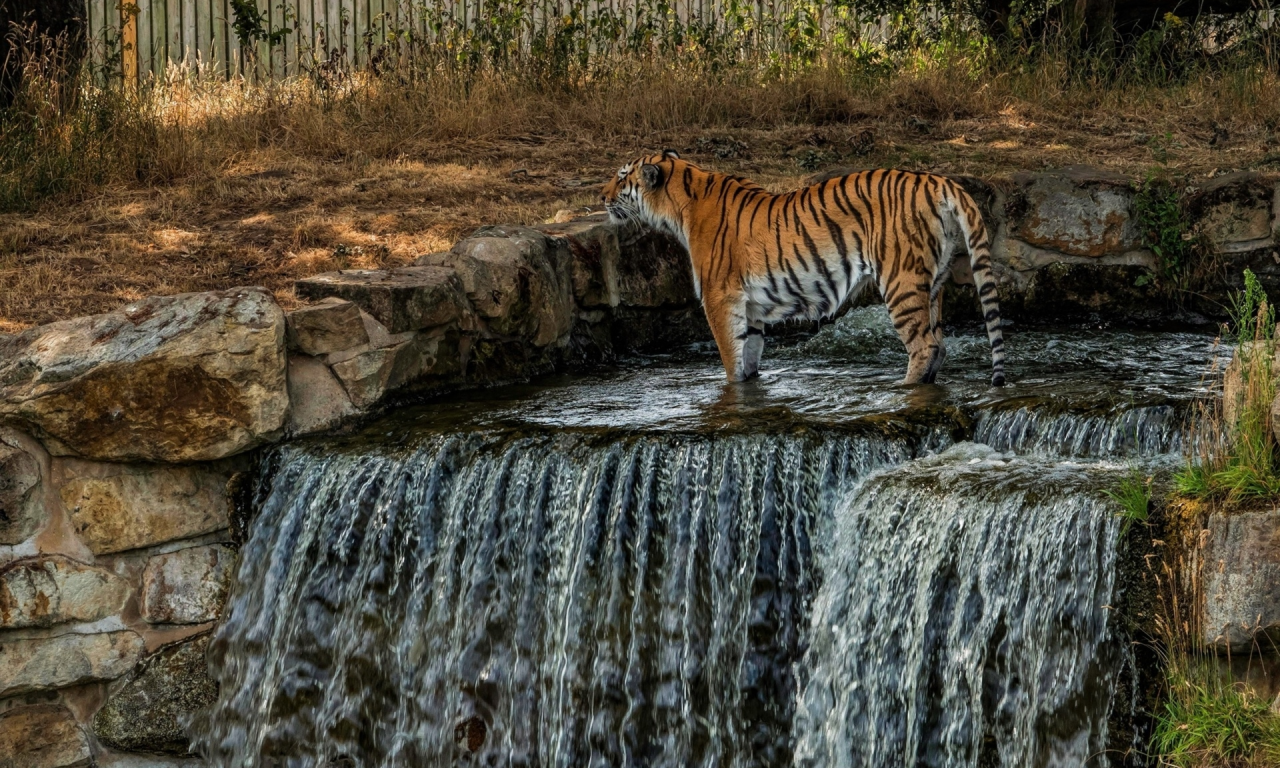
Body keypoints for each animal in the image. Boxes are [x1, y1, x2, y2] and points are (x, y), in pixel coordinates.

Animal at [604, 151, 1003, 386]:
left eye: (622, 177)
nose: (602, 196)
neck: (680, 203)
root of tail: (938, 180)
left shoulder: (719, 298)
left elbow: (731, 359)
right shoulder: (750, 308)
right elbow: (749, 355)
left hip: (901, 281)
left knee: (925, 346)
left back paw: (903, 387)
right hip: (934, 282)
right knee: (941, 344)